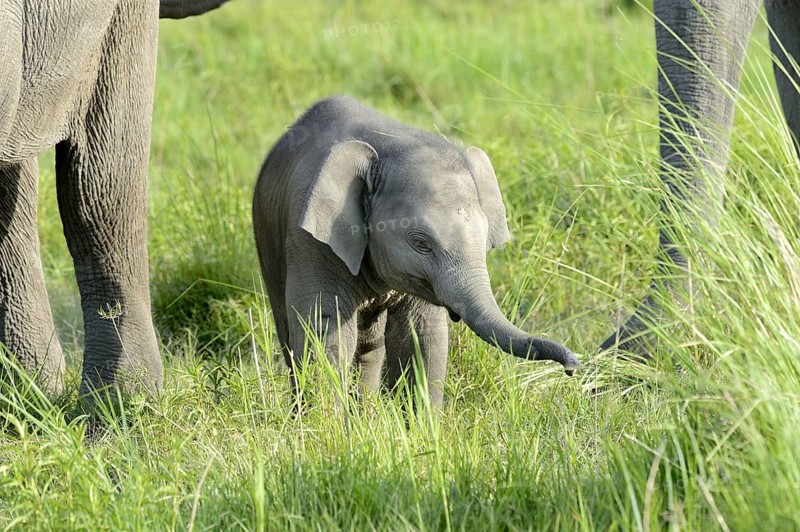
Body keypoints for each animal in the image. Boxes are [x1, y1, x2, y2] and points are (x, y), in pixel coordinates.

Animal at [253, 96, 580, 409]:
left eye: (484, 237)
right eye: (421, 243)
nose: (572, 367)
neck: (390, 146)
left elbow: (422, 337)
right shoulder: (312, 242)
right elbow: (325, 333)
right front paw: (328, 424)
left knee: (370, 346)